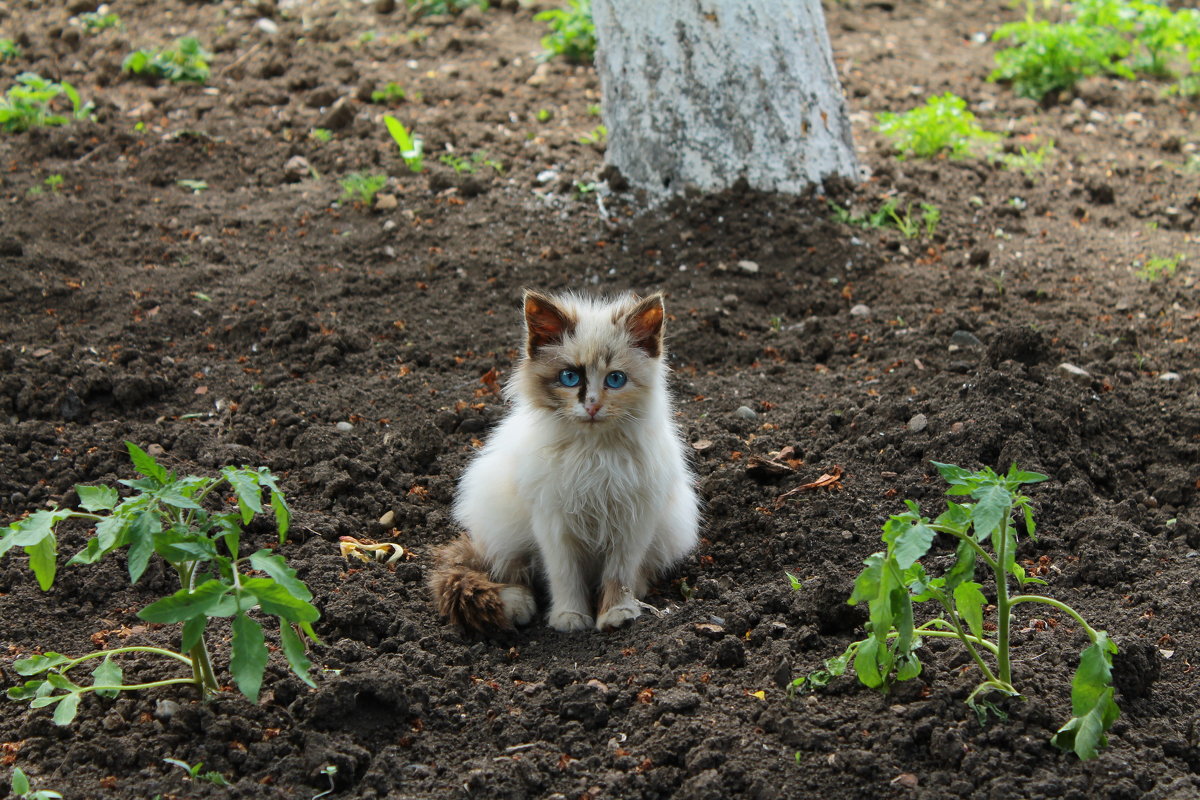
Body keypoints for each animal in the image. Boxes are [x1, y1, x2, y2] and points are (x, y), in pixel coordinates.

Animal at [432, 287, 700, 633]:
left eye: (615, 380)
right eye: (570, 377)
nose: (592, 406)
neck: (593, 453)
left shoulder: (632, 521)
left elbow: (619, 574)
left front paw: (616, 613)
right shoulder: (554, 523)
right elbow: (564, 576)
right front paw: (570, 618)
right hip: (500, 523)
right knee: (510, 569)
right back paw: (517, 605)